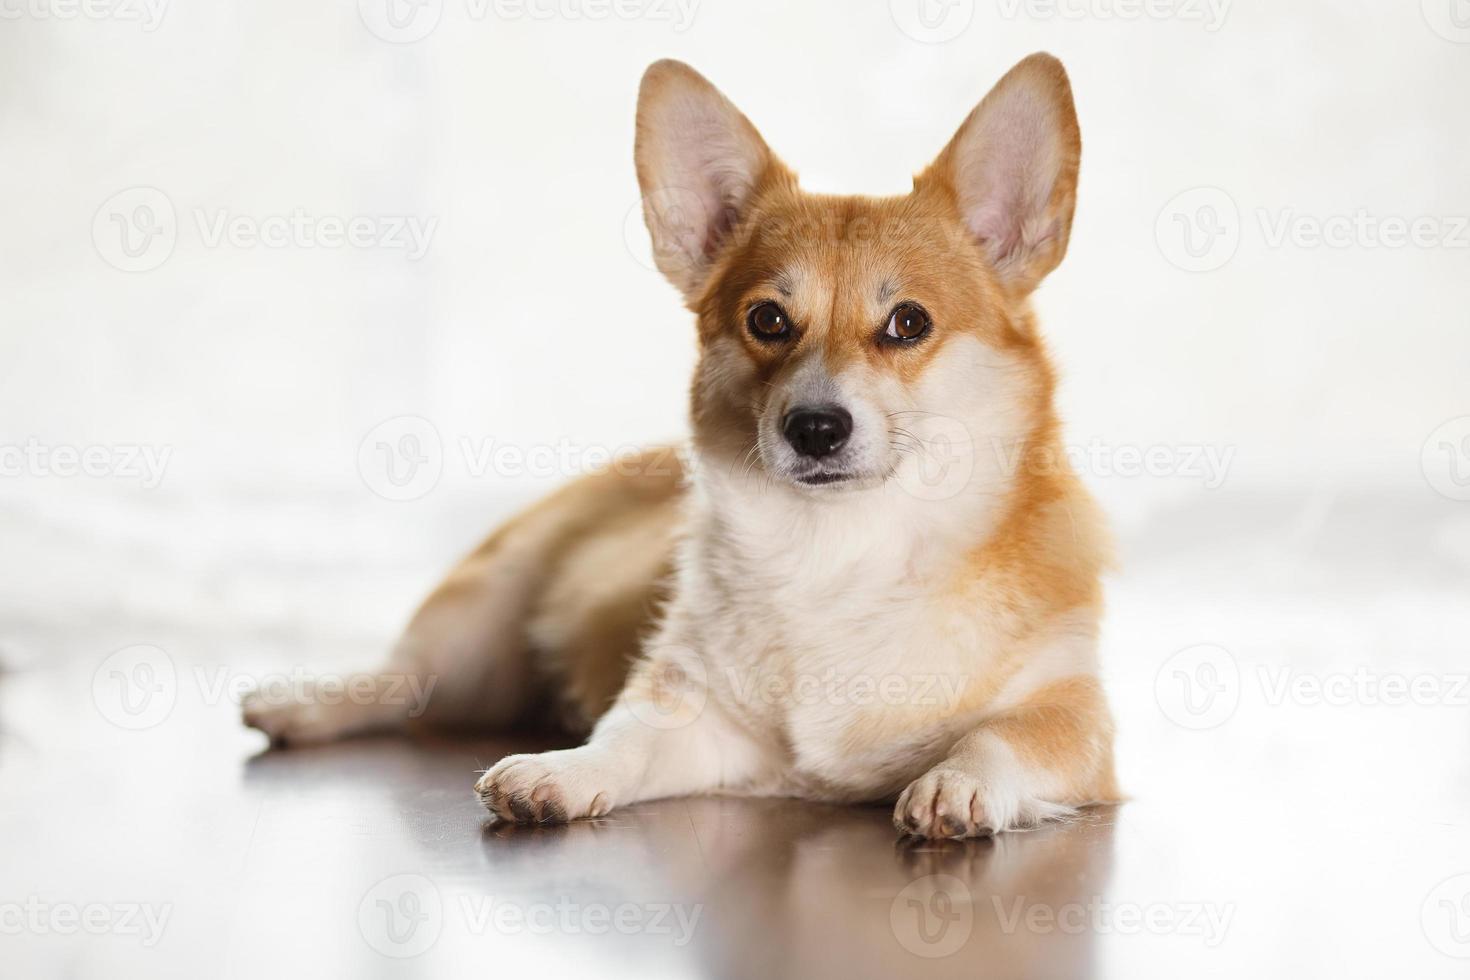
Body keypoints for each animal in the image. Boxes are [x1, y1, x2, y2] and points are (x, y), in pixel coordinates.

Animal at [244, 51, 1111, 846]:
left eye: (908, 323)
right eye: (767, 319)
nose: (815, 427)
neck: (842, 550)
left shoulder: (1080, 721)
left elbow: (1007, 733)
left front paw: (957, 783)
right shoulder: (688, 713)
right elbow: (622, 741)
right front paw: (559, 771)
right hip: (476, 638)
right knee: (399, 682)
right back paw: (296, 706)